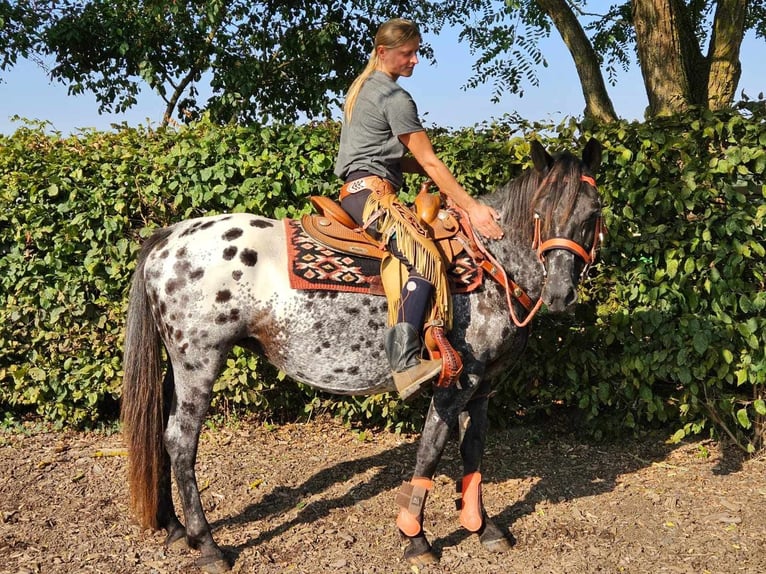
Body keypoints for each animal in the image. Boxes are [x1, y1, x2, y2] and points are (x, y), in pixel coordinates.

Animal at [120, 138, 608, 572]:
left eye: (593, 212)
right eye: (542, 213)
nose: (561, 293)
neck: (488, 265)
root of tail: (168, 237)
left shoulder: (485, 386)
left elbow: (473, 452)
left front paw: (482, 527)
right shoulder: (457, 382)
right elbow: (430, 450)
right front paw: (416, 538)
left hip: (177, 367)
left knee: (164, 437)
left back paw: (176, 529)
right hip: (199, 363)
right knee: (180, 441)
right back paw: (208, 546)